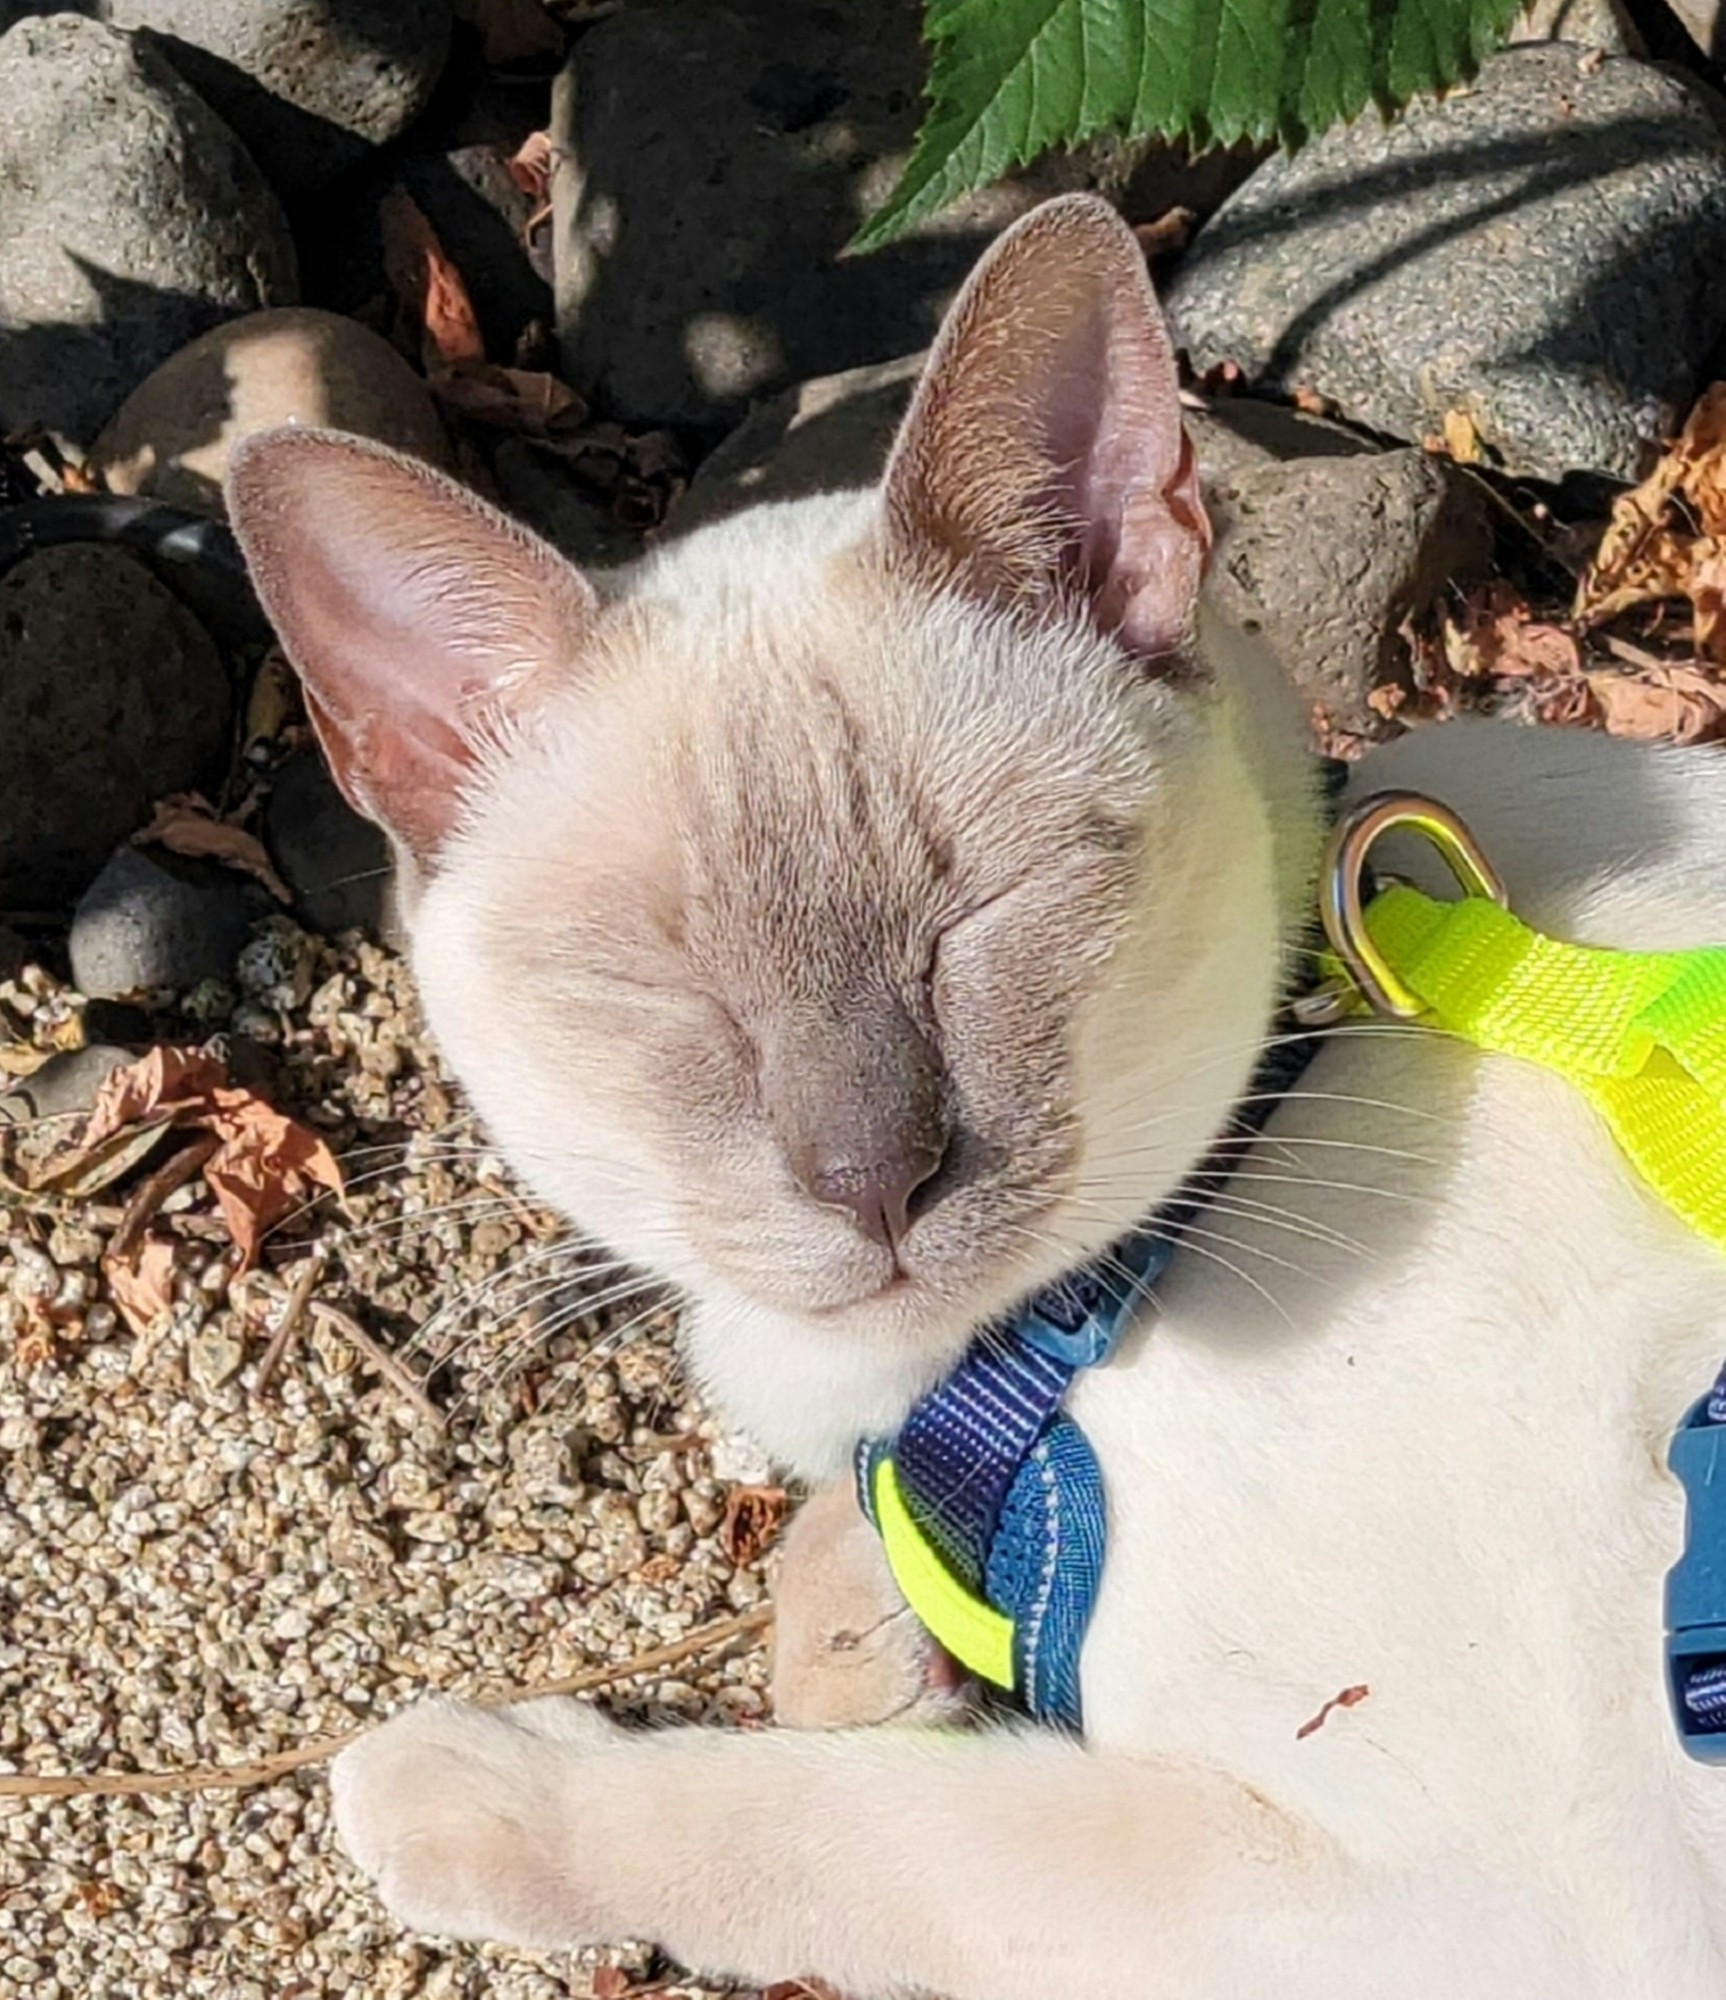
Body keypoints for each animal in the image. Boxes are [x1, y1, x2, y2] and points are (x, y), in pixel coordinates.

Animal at [223, 191, 1726, 2000]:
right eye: (667, 992)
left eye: (975, 927)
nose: (875, 1179)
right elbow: (844, 1631)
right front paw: (870, 1636)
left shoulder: (1460, 1906)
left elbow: (845, 1824)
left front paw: (463, 1788)